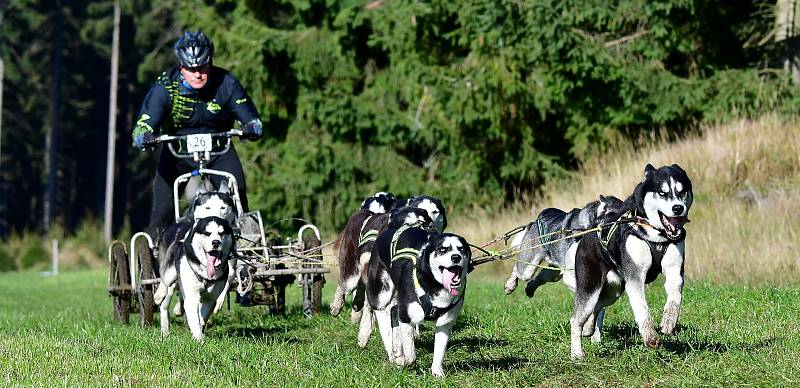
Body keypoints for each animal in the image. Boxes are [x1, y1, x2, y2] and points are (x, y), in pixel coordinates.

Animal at [358, 226, 468, 378]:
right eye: (442, 249)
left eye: (461, 249)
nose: (456, 257)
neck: (434, 284)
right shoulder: (406, 317)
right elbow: (411, 355)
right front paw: (401, 361)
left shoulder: (445, 323)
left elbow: (439, 351)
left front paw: (437, 372)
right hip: (380, 292)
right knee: (374, 307)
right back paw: (370, 336)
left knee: (393, 311)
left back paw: (395, 347)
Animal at [568, 163, 692, 358]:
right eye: (662, 192)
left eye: (682, 191)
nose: (678, 208)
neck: (656, 236)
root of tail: (593, 228)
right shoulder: (635, 279)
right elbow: (642, 310)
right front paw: (650, 337)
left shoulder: (674, 271)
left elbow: (675, 296)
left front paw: (669, 321)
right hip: (591, 287)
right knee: (576, 318)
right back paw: (577, 353)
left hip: (613, 291)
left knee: (597, 307)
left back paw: (588, 327)